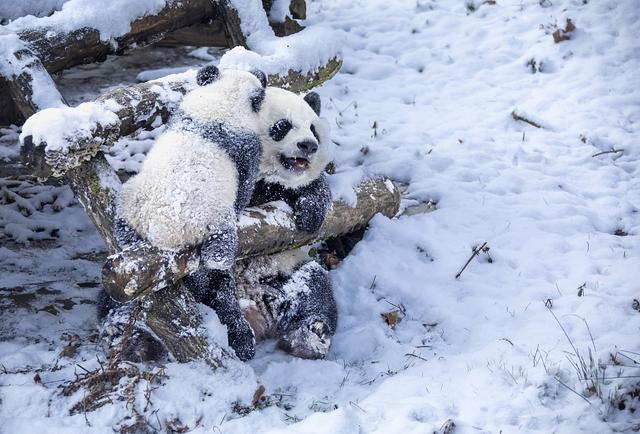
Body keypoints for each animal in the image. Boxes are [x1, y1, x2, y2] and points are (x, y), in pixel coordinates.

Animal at [112, 65, 268, 362]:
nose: (262, 74)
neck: (222, 102)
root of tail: (167, 230)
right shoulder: (246, 147)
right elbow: (245, 184)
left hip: (133, 201)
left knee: (122, 221)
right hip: (214, 217)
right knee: (220, 258)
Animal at [236, 88, 340, 360]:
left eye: (313, 129)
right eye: (283, 125)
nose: (309, 145)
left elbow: (313, 186)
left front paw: (310, 213)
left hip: (290, 268)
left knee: (314, 290)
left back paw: (309, 337)